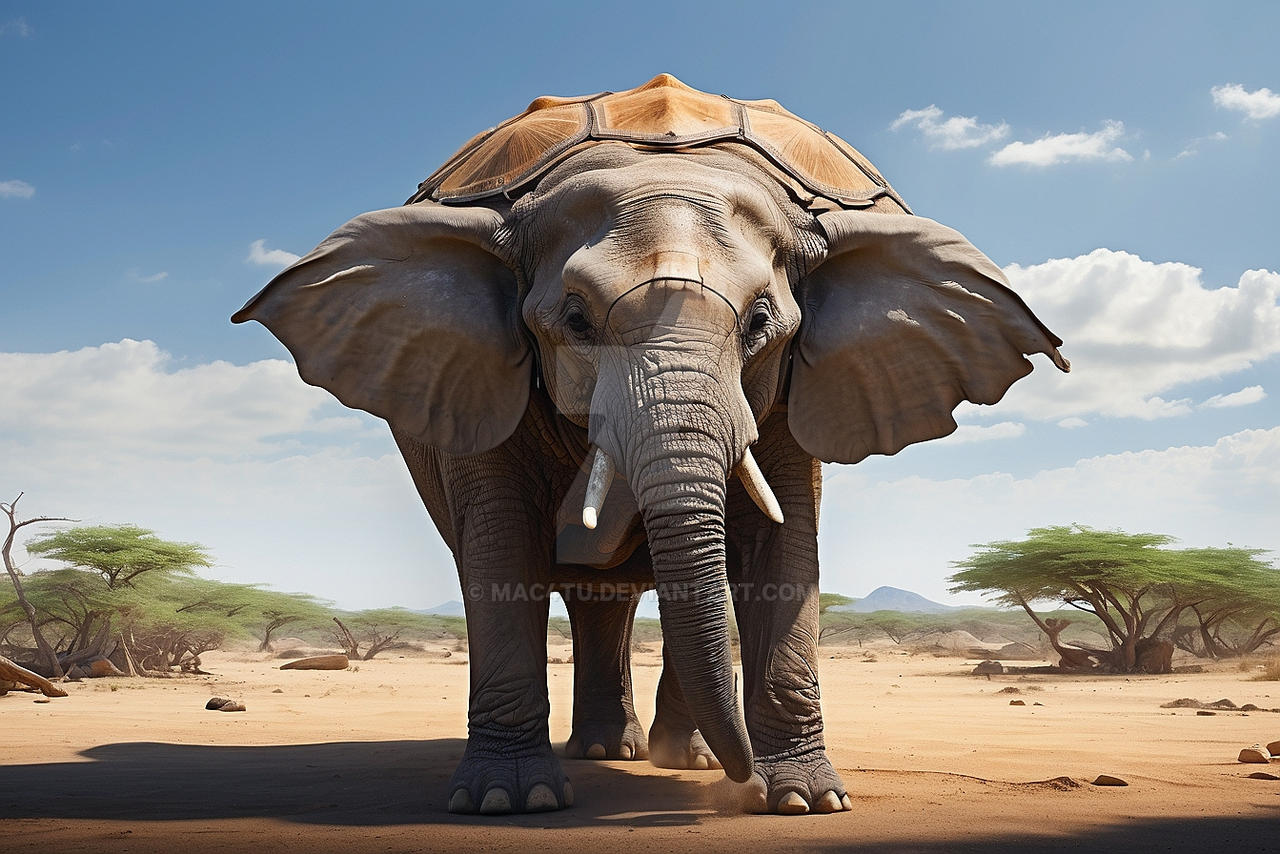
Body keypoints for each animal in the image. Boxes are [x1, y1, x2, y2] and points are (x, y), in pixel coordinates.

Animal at [232, 79, 1068, 817]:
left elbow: (781, 544)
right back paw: (617, 756)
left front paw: (806, 801)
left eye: (761, 323)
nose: (741, 780)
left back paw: (678, 759)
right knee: (598, 594)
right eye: (574, 320)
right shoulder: (476, 379)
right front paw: (508, 801)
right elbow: (501, 548)